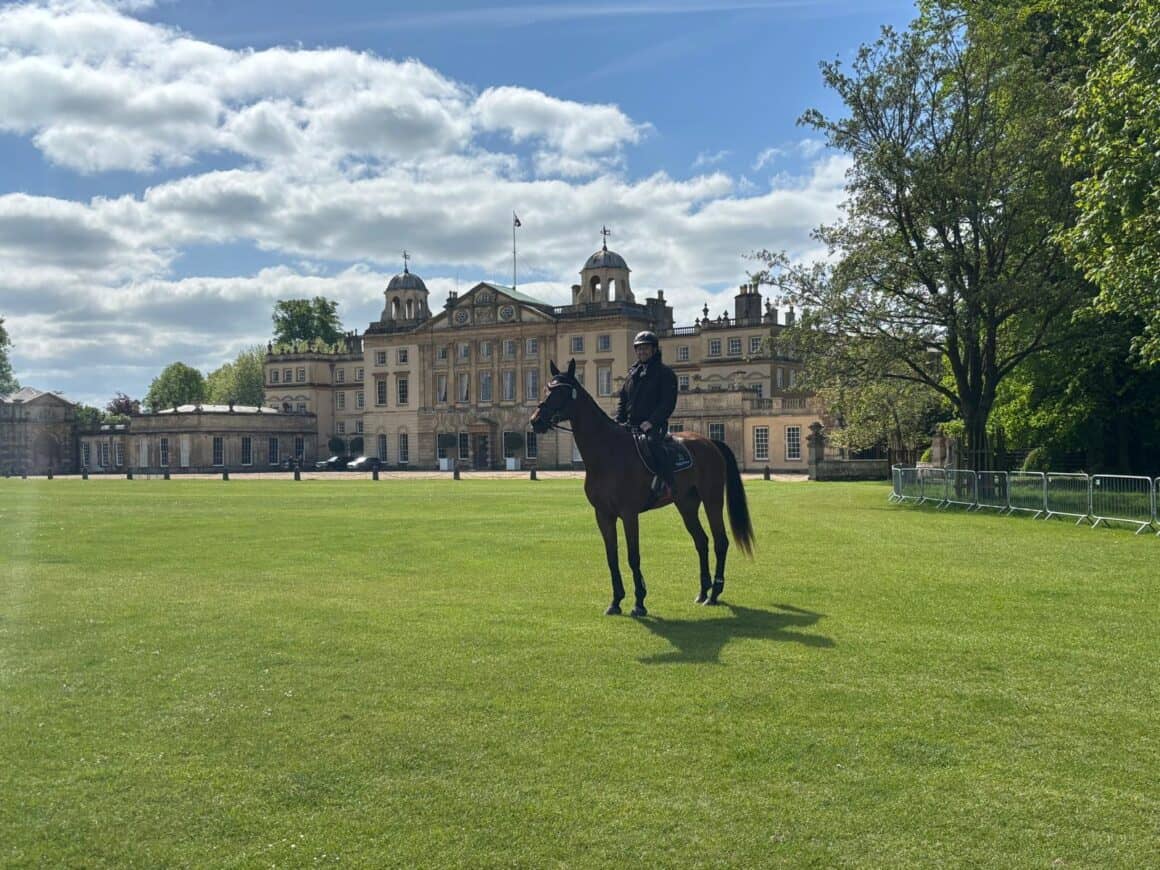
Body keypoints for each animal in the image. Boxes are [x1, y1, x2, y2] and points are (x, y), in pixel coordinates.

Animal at [530, 359, 754, 617]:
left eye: (561, 391)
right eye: (546, 388)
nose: (535, 420)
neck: (608, 451)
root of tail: (709, 442)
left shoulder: (629, 514)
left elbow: (633, 556)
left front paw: (639, 602)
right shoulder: (603, 515)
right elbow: (612, 556)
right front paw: (616, 600)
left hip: (712, 500)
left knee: (720, 541)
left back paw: (715, 593)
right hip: (686, 504)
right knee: (701, 541)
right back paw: (703, 591)